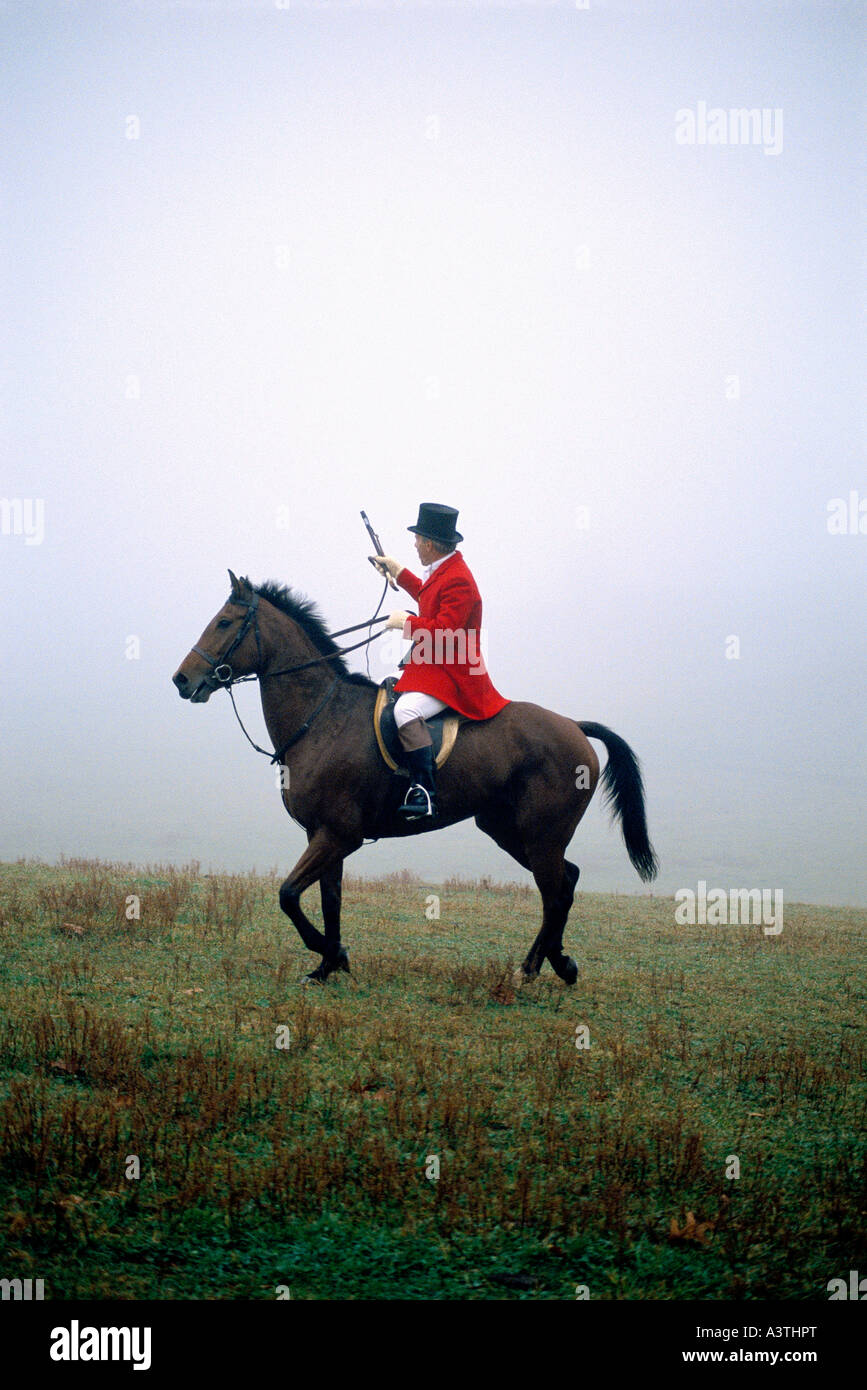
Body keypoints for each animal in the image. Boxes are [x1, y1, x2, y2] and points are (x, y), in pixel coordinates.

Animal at [170, 572, 655, 989]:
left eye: (224, 623)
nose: (181, 679)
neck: (323, 716)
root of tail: (573, 725)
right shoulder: (323, 834)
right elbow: (329, 900)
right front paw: (326, 965)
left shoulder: (337, 835)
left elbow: (288, 895)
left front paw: (333, 954)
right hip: (508, 831)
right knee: (566, 882)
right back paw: (552, 963)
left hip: (542, 836)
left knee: (554, 894)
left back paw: (539, 967)